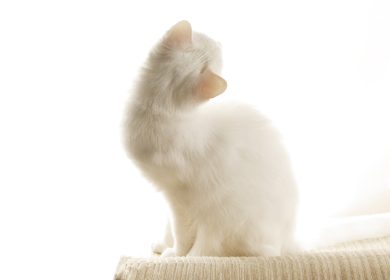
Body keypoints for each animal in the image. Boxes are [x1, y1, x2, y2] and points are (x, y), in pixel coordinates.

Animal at [123, 20, 390, 258]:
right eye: (213, 45)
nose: (221, 41)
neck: (156, 111)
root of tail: (289, 238)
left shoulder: (179, 197)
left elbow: (181, 234)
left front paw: (175, 254)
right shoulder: (168, 196)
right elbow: (169, 228)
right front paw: (163, 245)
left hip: (224, 219)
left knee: (223, 250)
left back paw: (192, 256)